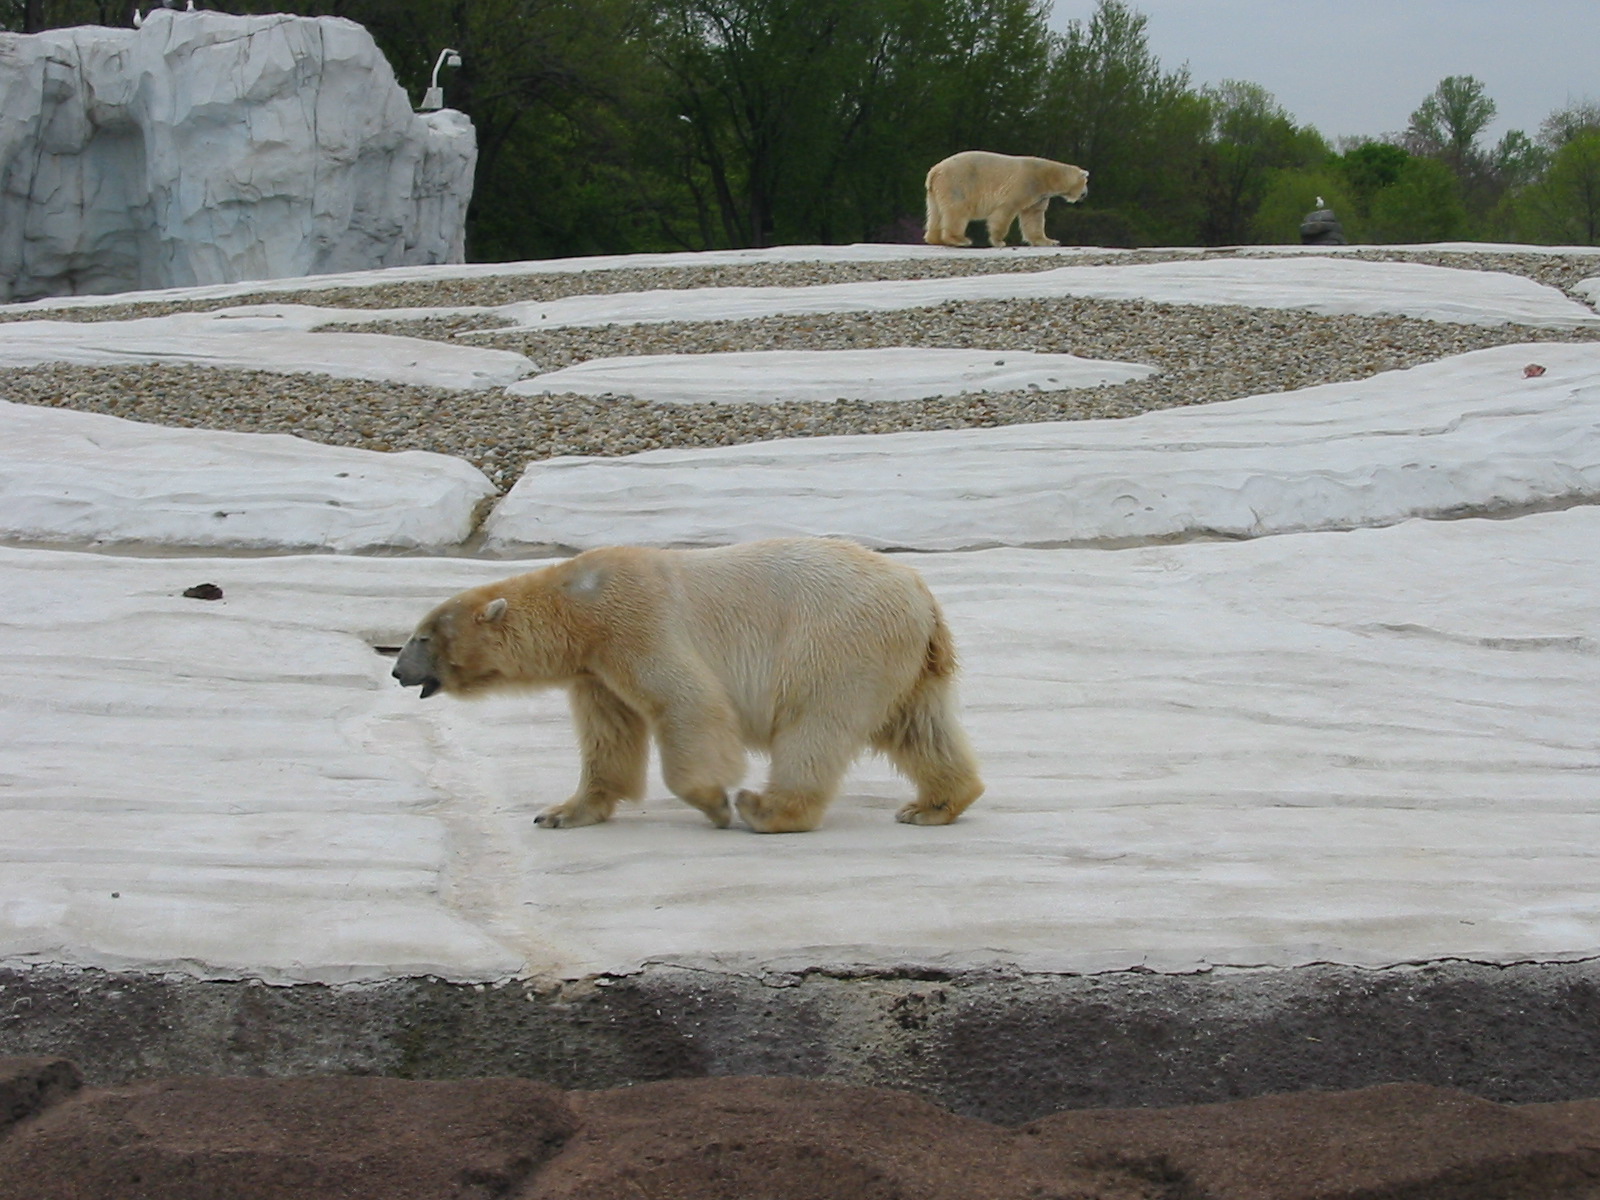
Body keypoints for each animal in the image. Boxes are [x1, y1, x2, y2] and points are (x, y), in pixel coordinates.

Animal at [391, 537, 984, 834]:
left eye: (420, 637)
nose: (398, 671)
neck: (576, 608)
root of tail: (921, 594)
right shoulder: (596, 669)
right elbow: (609, 738)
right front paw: (560, 812)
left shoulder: (633, 622)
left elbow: (689, 703)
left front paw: (715, 803)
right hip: (903, 660)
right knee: (918, 726)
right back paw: (933, 805)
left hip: (837, 642)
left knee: (815, 725)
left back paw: (765, 809)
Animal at [923, 150, 1089, 248]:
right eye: (1086, 182)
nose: (1085, 194)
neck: (1046, 176)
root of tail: (935, 171)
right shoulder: (1024, 184)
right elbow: (1005, 211)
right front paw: (999, 241)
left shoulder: (1038, 196)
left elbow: (1033, 217)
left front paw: (1050, 241)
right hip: (957, 183)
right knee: (957, 211)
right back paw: (960, 239)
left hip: (936, 191)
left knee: (935, 213)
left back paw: (934, 239)